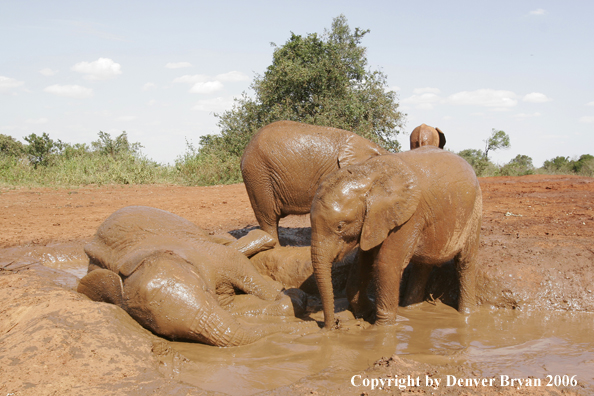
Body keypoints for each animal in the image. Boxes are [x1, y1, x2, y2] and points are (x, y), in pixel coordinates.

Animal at [78, 207, 314, 346]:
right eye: (169, 335)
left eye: (202, 288)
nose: (306, 330)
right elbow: (230, 309)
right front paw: (292, 300)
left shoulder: (203, 253)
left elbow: (237, 264)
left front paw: (291, 296)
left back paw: (261, 239)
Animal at [310, 147, 480, 330]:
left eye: (340, 226)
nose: (331, 326)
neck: (367, 175)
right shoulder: (374, 220)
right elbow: (363, 262)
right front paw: (367, 313)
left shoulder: (407, 216)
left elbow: (385, 263)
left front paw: (381, 329)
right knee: (423, 266)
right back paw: (412, 310)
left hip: (475, 210)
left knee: (465, 262)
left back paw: (466, 314)